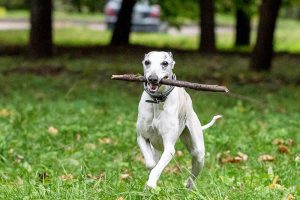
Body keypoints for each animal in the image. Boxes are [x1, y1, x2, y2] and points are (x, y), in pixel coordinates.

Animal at [137, 50, 220, 188]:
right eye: (147, 62)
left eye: (165, 63)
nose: (153, 78)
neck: (157, 101)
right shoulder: (142, 137)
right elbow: (151, 163)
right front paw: (150, 175)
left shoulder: (169, 148)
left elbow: (157, 168)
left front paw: (151, 183)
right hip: (157, 147)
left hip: (198, 153)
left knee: (192, 176)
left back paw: (189, 187)